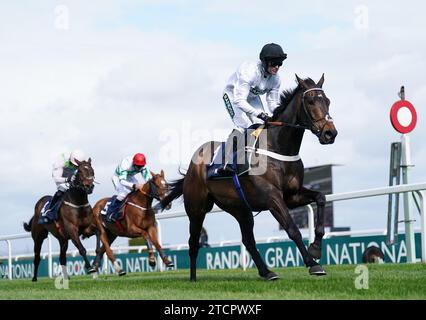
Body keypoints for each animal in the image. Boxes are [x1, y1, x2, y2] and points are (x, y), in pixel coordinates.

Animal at [161, 74, 338, 280]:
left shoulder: (291, 196)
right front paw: (313, 263)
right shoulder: (272, 198)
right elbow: (293, 229)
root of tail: (193, 165)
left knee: (248, 240)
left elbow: (321, 197)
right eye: (310, 101)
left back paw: (267, 272)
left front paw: (316, 248)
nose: (330, 133)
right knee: (193, 242)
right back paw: (192, 278)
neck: (277, 147)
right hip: (197, 208)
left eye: (328, 101)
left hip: (239, 208)